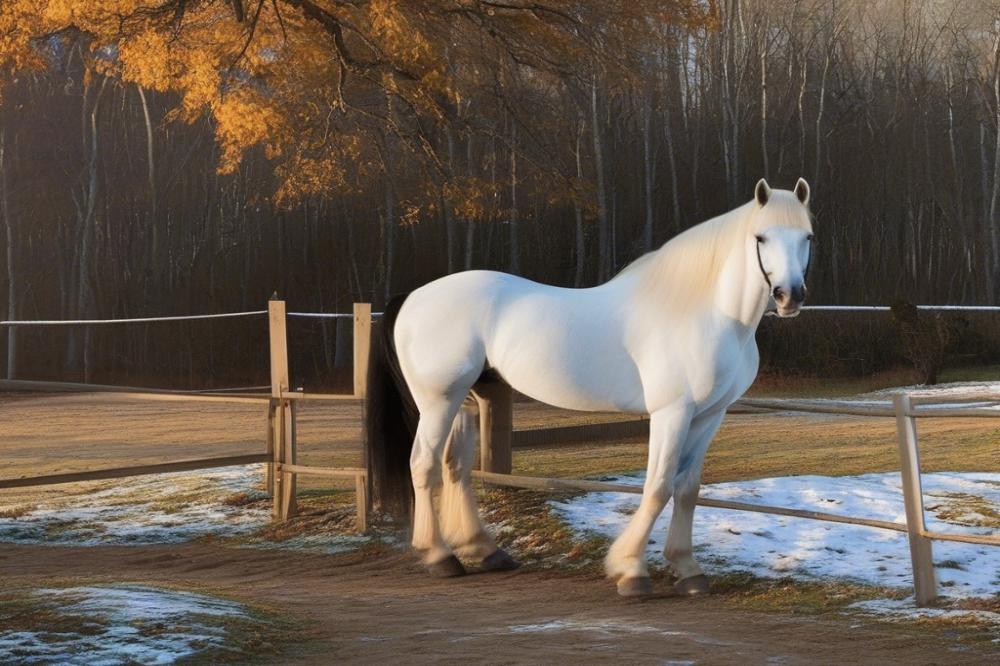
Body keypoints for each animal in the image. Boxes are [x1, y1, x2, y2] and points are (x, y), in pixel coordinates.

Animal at [366, 178, 812, 596]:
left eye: (806, 237)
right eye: (761, 237)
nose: (789, 296)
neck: (706, 314)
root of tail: (413, 296)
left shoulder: (709, 415)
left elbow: (687, 489)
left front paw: (687, 569)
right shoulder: (672, 412)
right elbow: (658, 486)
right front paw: (631, 570)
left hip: (466, 401)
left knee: (453, 465)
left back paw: (485, 550)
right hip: (437, 401)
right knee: (423, 465)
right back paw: (439, 556)